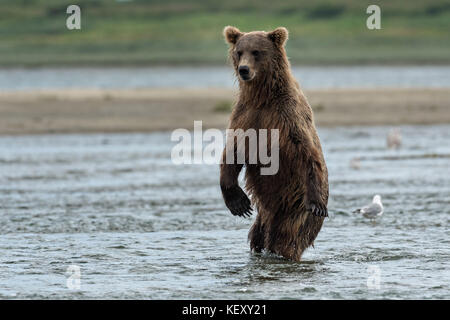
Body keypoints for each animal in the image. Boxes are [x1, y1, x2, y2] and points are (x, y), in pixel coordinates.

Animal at [220, 26, 328, 262]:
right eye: (239, 51)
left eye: (256, 52)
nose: (243, 70)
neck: (262, 97)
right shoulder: (245, 116)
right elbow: (233, 151)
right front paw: (238, 203)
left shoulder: (288, 116)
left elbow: (306, 152)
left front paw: (317, 204)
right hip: (264, 214)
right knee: (257, 236)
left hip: (295, 205)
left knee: (287, 237)